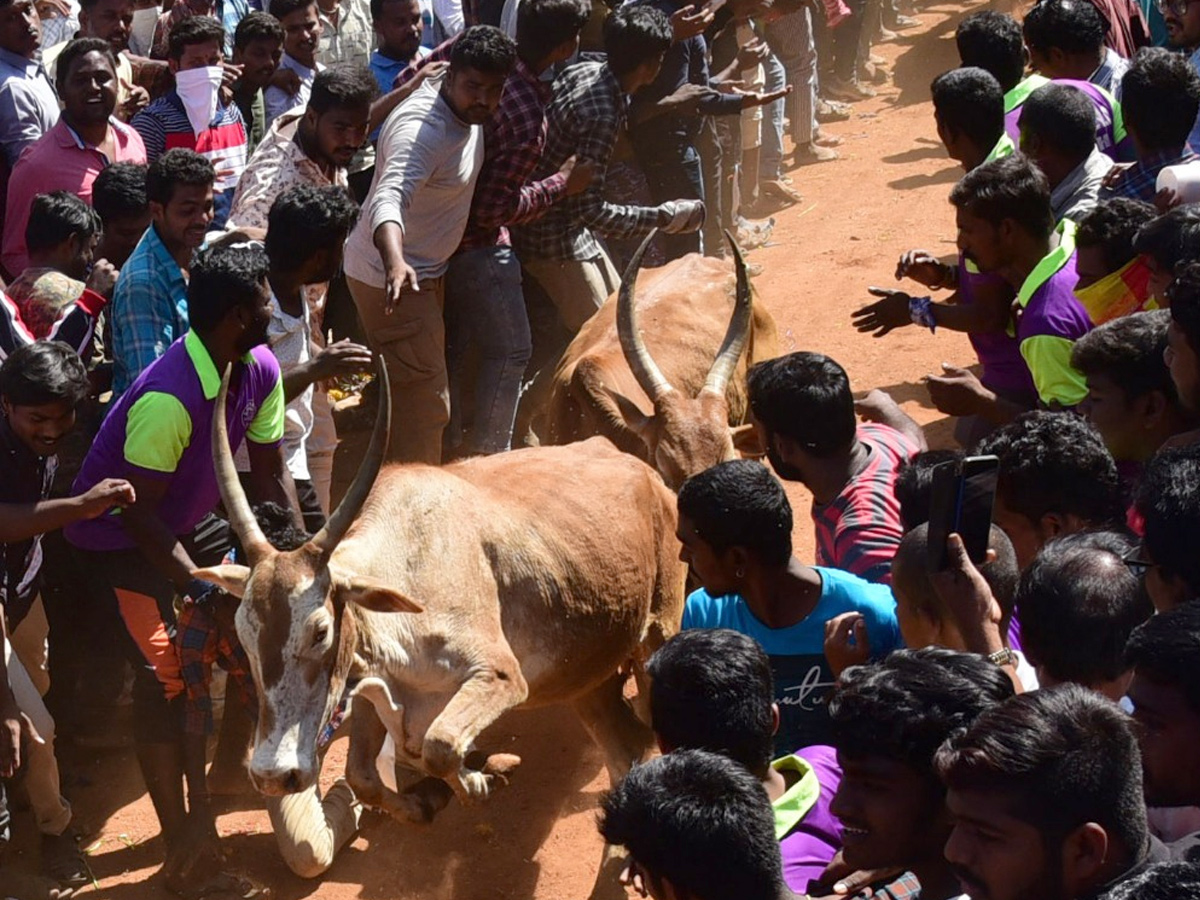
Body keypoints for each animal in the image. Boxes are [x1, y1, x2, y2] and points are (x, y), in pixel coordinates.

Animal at [194, 364, 686, 825]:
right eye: (243, 635)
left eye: (320, 632)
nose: (273, 775)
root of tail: (640, 467)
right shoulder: (370, 688)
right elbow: (363, 776)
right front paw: (427, 802)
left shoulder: (500, 676)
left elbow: (439, 746)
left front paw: (482, 780)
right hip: (589, 671)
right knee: (625, 744)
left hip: (658, 632)